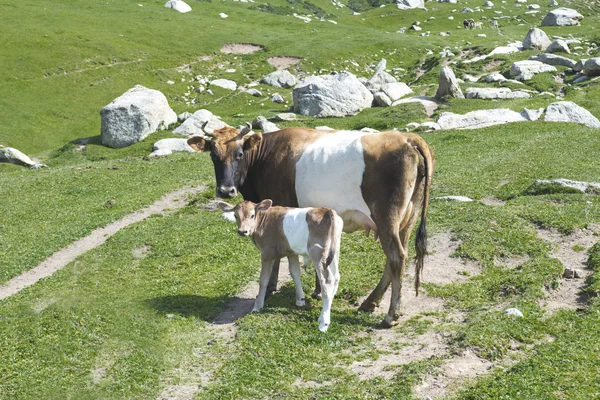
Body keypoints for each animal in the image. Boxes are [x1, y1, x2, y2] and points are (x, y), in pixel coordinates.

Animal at [219, 198, 342, 332]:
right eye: (235, 215)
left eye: (252, 215)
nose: (242, 231)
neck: (264, 219)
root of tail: (326, 211)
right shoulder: (291, 252)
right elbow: (295, 273)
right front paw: (300, 300)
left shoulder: (267, 253)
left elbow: (264, 279)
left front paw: (257, 306)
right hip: (333, 252)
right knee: (336, 277)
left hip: (318, 253)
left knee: (327, 282)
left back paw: (324, 323)